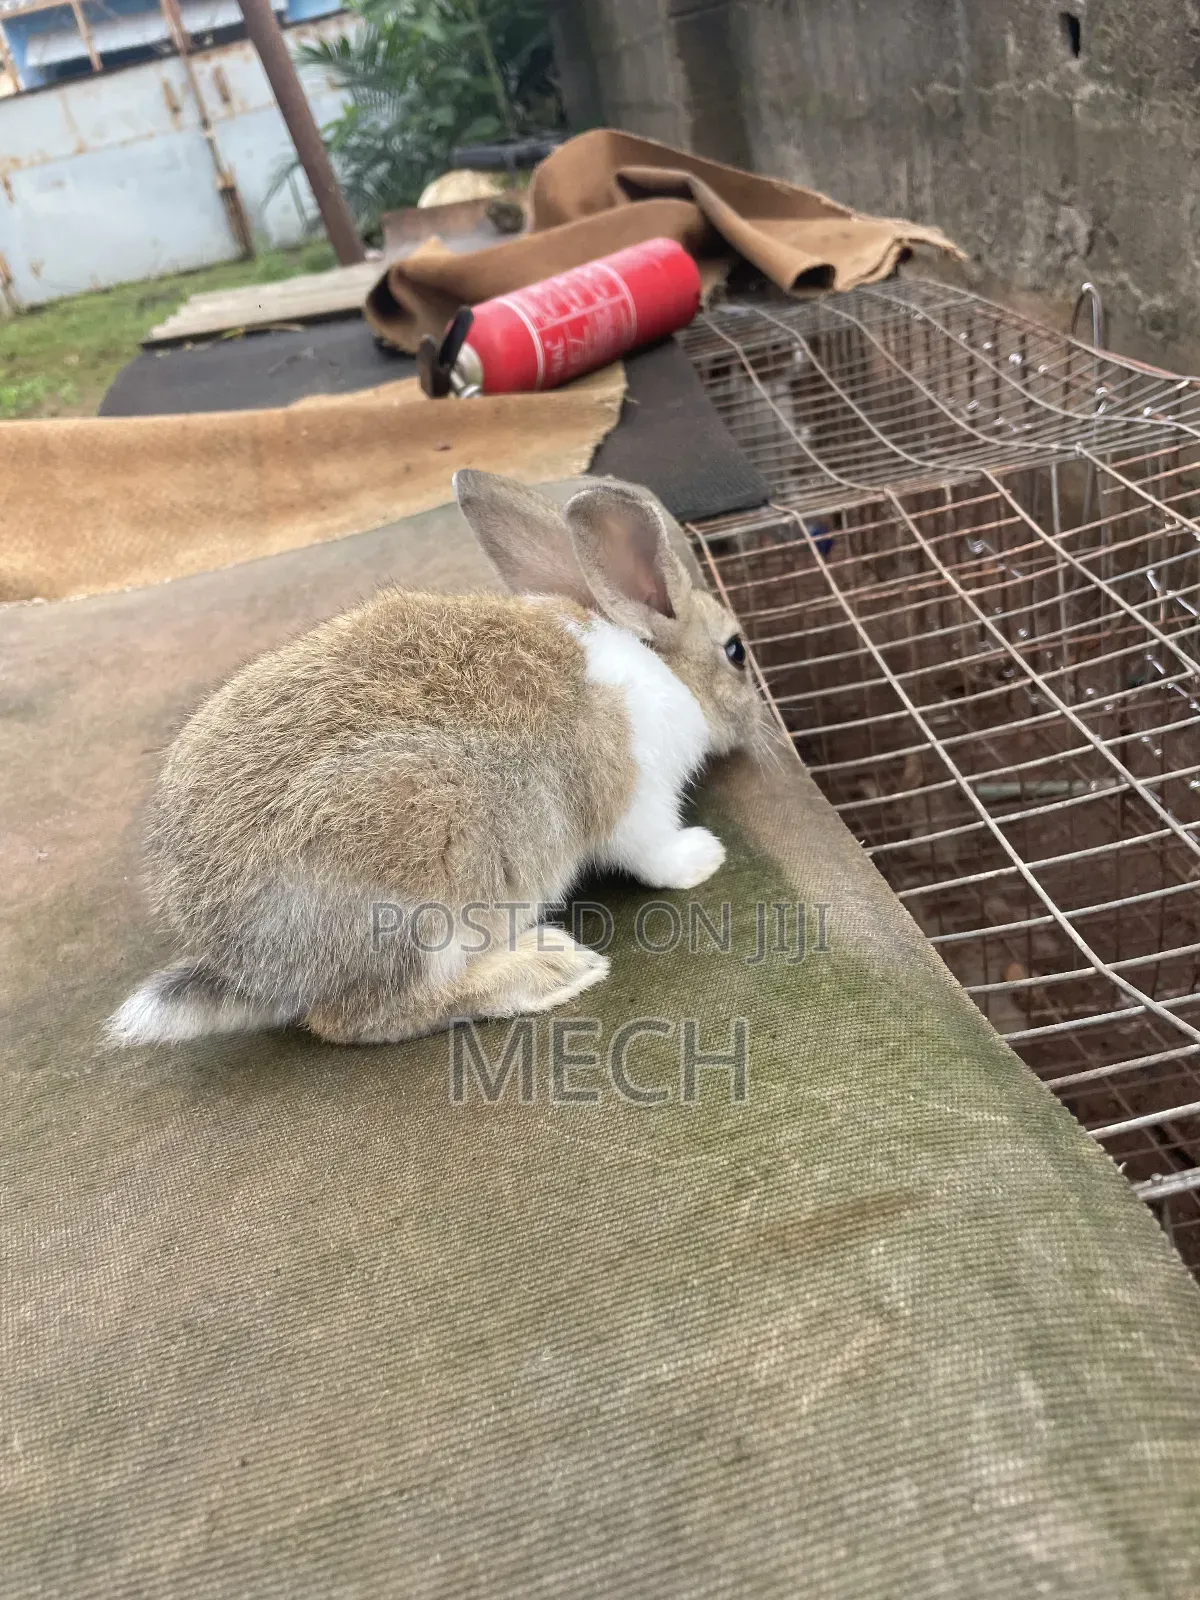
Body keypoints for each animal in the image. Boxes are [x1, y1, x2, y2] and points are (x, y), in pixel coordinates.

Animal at [108, 471, 765, 1047]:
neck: (654, 662)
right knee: (359, 1018)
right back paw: (547, 969)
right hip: (426, 890)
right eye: (736, 651)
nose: (759, 718)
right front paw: (703, 857)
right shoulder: (636, 799)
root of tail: (242, 963)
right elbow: (652, 852)